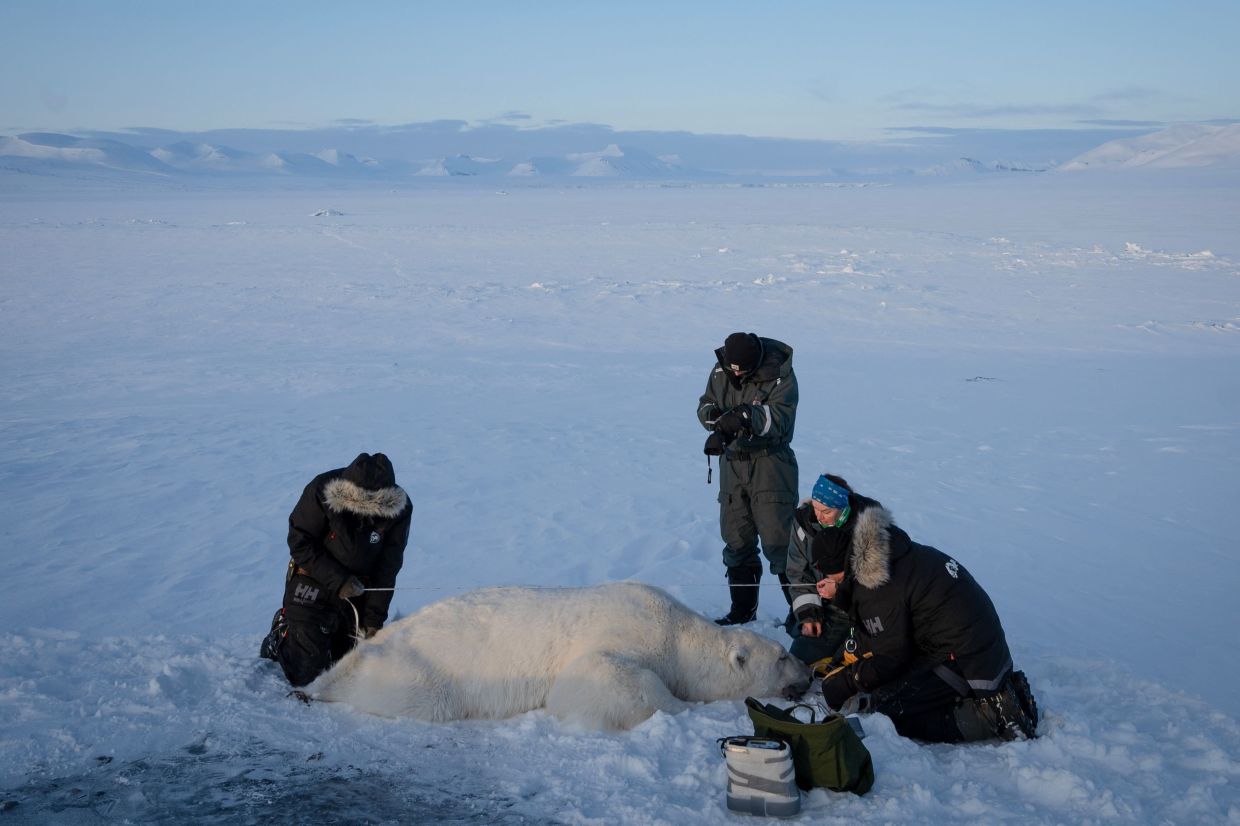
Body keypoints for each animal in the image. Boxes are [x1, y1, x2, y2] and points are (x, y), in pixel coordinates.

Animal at [305, 581, 812, 730]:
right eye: (781, 658)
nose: (808, 673)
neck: (677, 631)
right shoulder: (627, 636)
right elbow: (594, 680)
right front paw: (677, 705)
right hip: (417, 671)